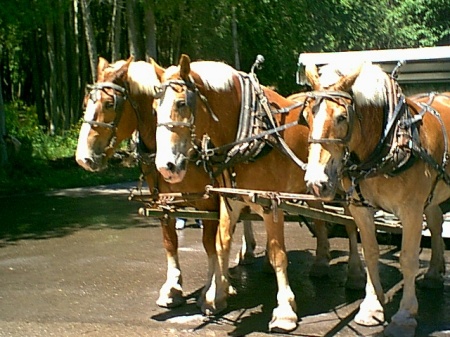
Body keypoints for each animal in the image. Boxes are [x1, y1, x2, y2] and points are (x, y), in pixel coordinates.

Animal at [74, 55, 260, 310]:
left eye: (110, 103)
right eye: (86, 102)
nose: (83, 158)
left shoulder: (209, 201)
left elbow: (210, 244)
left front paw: (212, 289)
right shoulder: (163, 201)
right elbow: (170, 241)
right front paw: (173, 288)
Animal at [155, 55, 366, 330]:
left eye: (181, 103)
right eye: (154, 107)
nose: (165, 166)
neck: (248, 130)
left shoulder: (270, 203)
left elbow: (278, 255)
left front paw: (285, 311)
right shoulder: (229, 199)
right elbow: (221, 244)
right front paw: (216, 296)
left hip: (340, 186)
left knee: (350, 224)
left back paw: (355, 274)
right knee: (320, 219)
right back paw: (320, 263)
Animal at [302, 61, 450, 336]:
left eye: (341, 117)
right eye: (306, 116)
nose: (317, 182)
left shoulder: (411, 210)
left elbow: (408, 258)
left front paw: (404, 315)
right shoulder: (361, 209)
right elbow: (370, 252)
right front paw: (372, 307)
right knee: (436, 224)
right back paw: (434, 274)